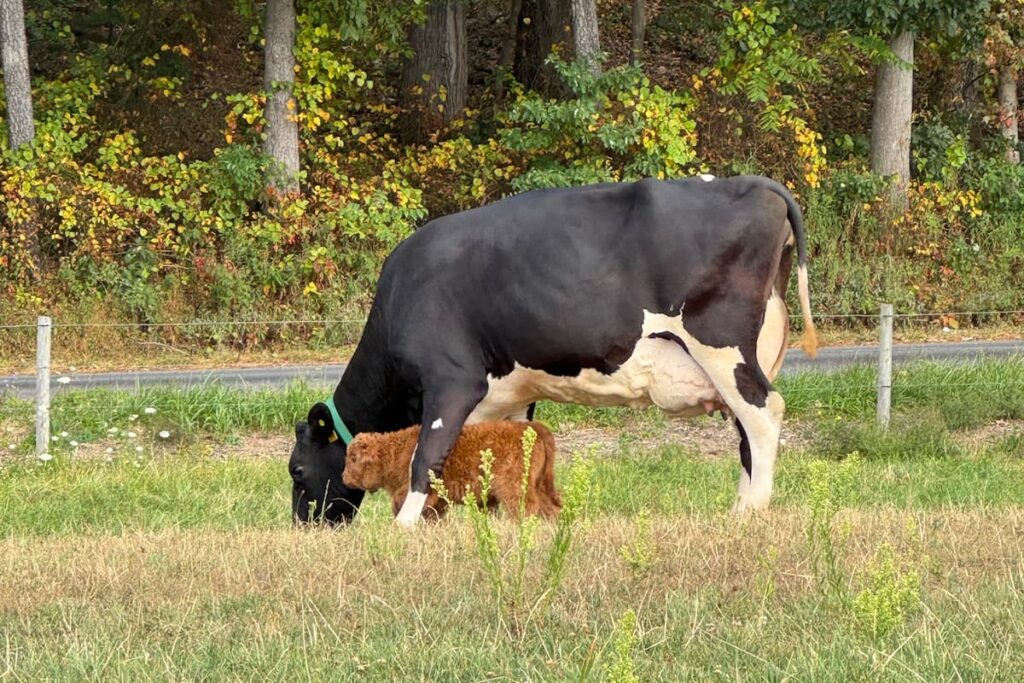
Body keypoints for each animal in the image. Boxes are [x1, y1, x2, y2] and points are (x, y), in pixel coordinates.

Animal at [288, 175, 816, 527]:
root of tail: (751, 182)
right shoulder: (507, 397)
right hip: (743, 359)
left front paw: (405, 526)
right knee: (747, 431)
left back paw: (749, 511)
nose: (304, 525)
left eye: (297, 470)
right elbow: (501, 456)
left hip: (722, 346)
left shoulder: (452, 379)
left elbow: (427, 456)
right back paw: (740, 504)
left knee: (765, 414)